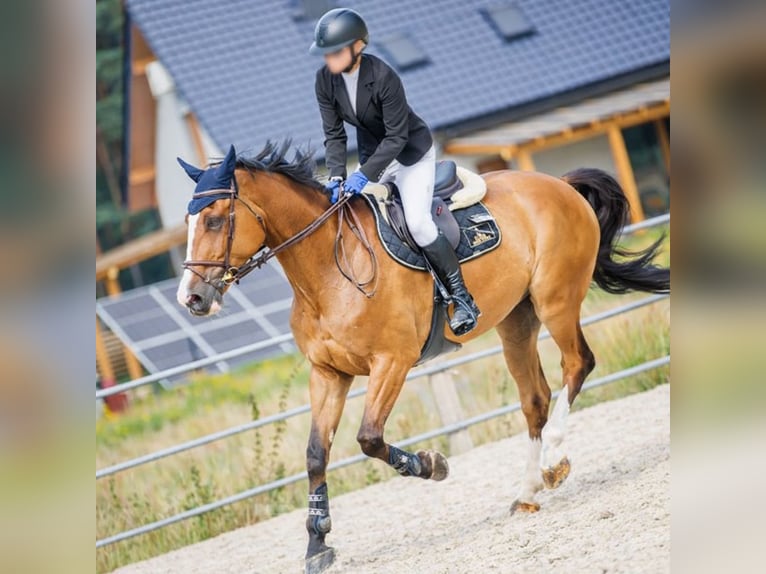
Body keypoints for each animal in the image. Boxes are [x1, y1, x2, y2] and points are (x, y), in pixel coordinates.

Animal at [175, 141, 669, 573]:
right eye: (190, 223)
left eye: (216, 221)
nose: (193, 298)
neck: (329, 270)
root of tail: (559, 184)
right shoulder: (328, 373)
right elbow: (316, 454)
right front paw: (317, 544)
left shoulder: (390, 362)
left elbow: (369, 438)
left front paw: (433, 465)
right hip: (517, 320)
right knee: (535, 399)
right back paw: (528, 491)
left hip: (556, 301)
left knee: (577, 364)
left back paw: (553, 465)